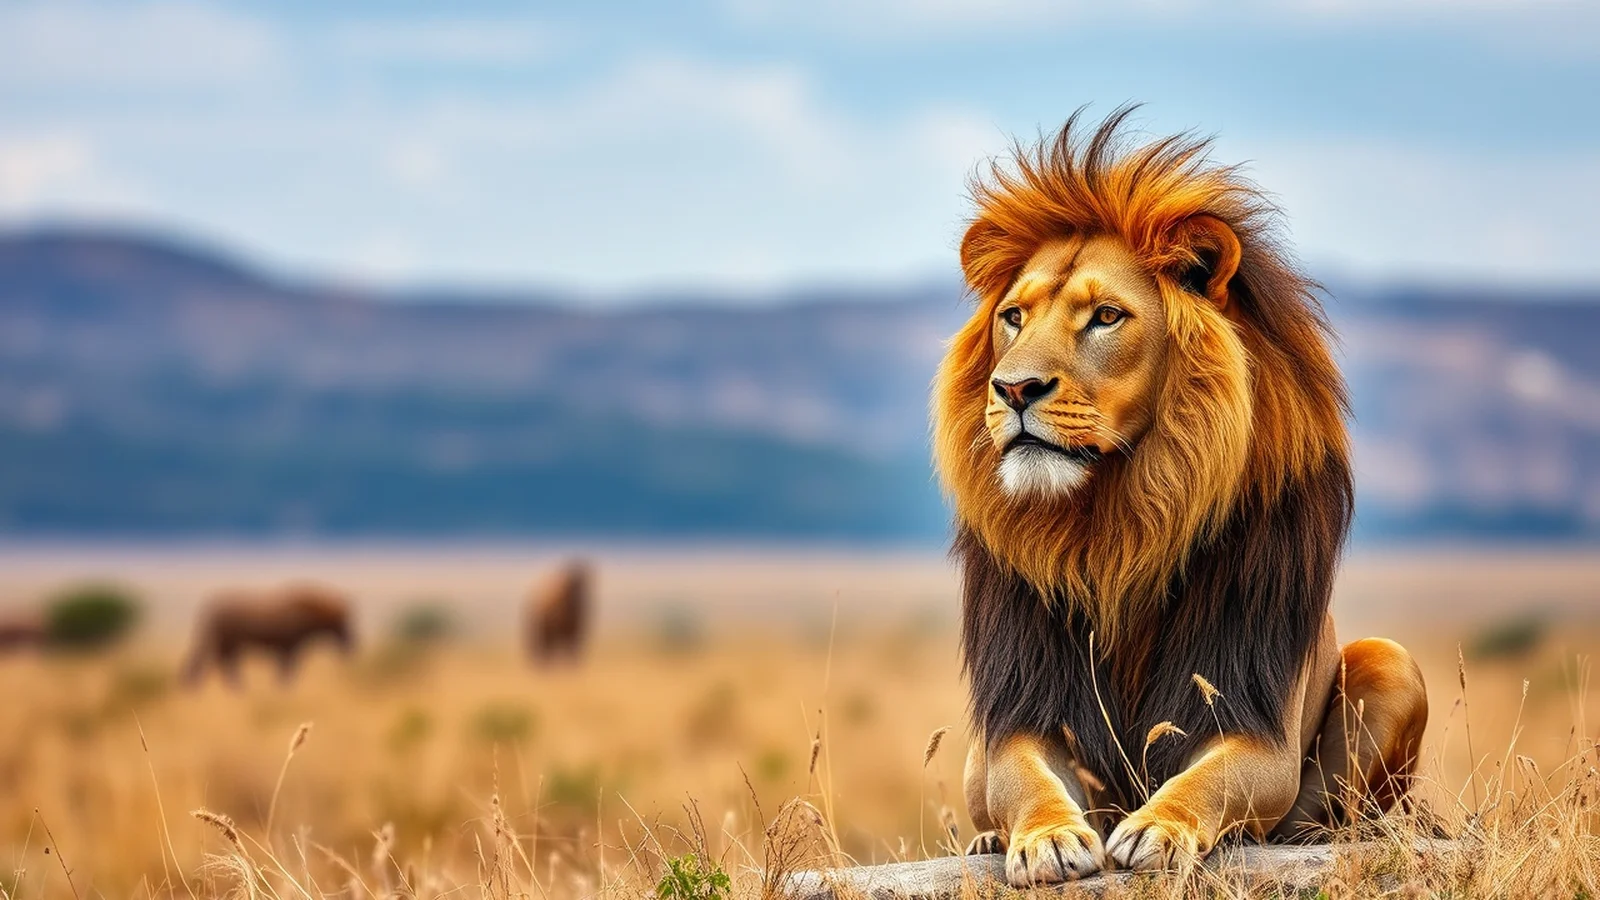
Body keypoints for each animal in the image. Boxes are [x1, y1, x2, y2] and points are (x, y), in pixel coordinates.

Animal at [181, 583, 355, 687]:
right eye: (341, 620)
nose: (351, 641)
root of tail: (211, 608)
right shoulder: (287, 649)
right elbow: (286, 672)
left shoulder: (289, 650)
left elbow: (286, 672)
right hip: (228, 643)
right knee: (223, 664)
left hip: (228, 644)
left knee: (222, 664)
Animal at [934, 108, 1427, 884]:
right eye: (1012, 316)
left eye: (1106, 317)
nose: (1012, 389)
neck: (1116, 527)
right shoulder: (1022, 708)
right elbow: (1027, 780)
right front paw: (1048, 839)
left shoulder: (1251, 717)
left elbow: (1210, 777)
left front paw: (1159, 828)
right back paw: (986, 840)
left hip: (1390, 661)